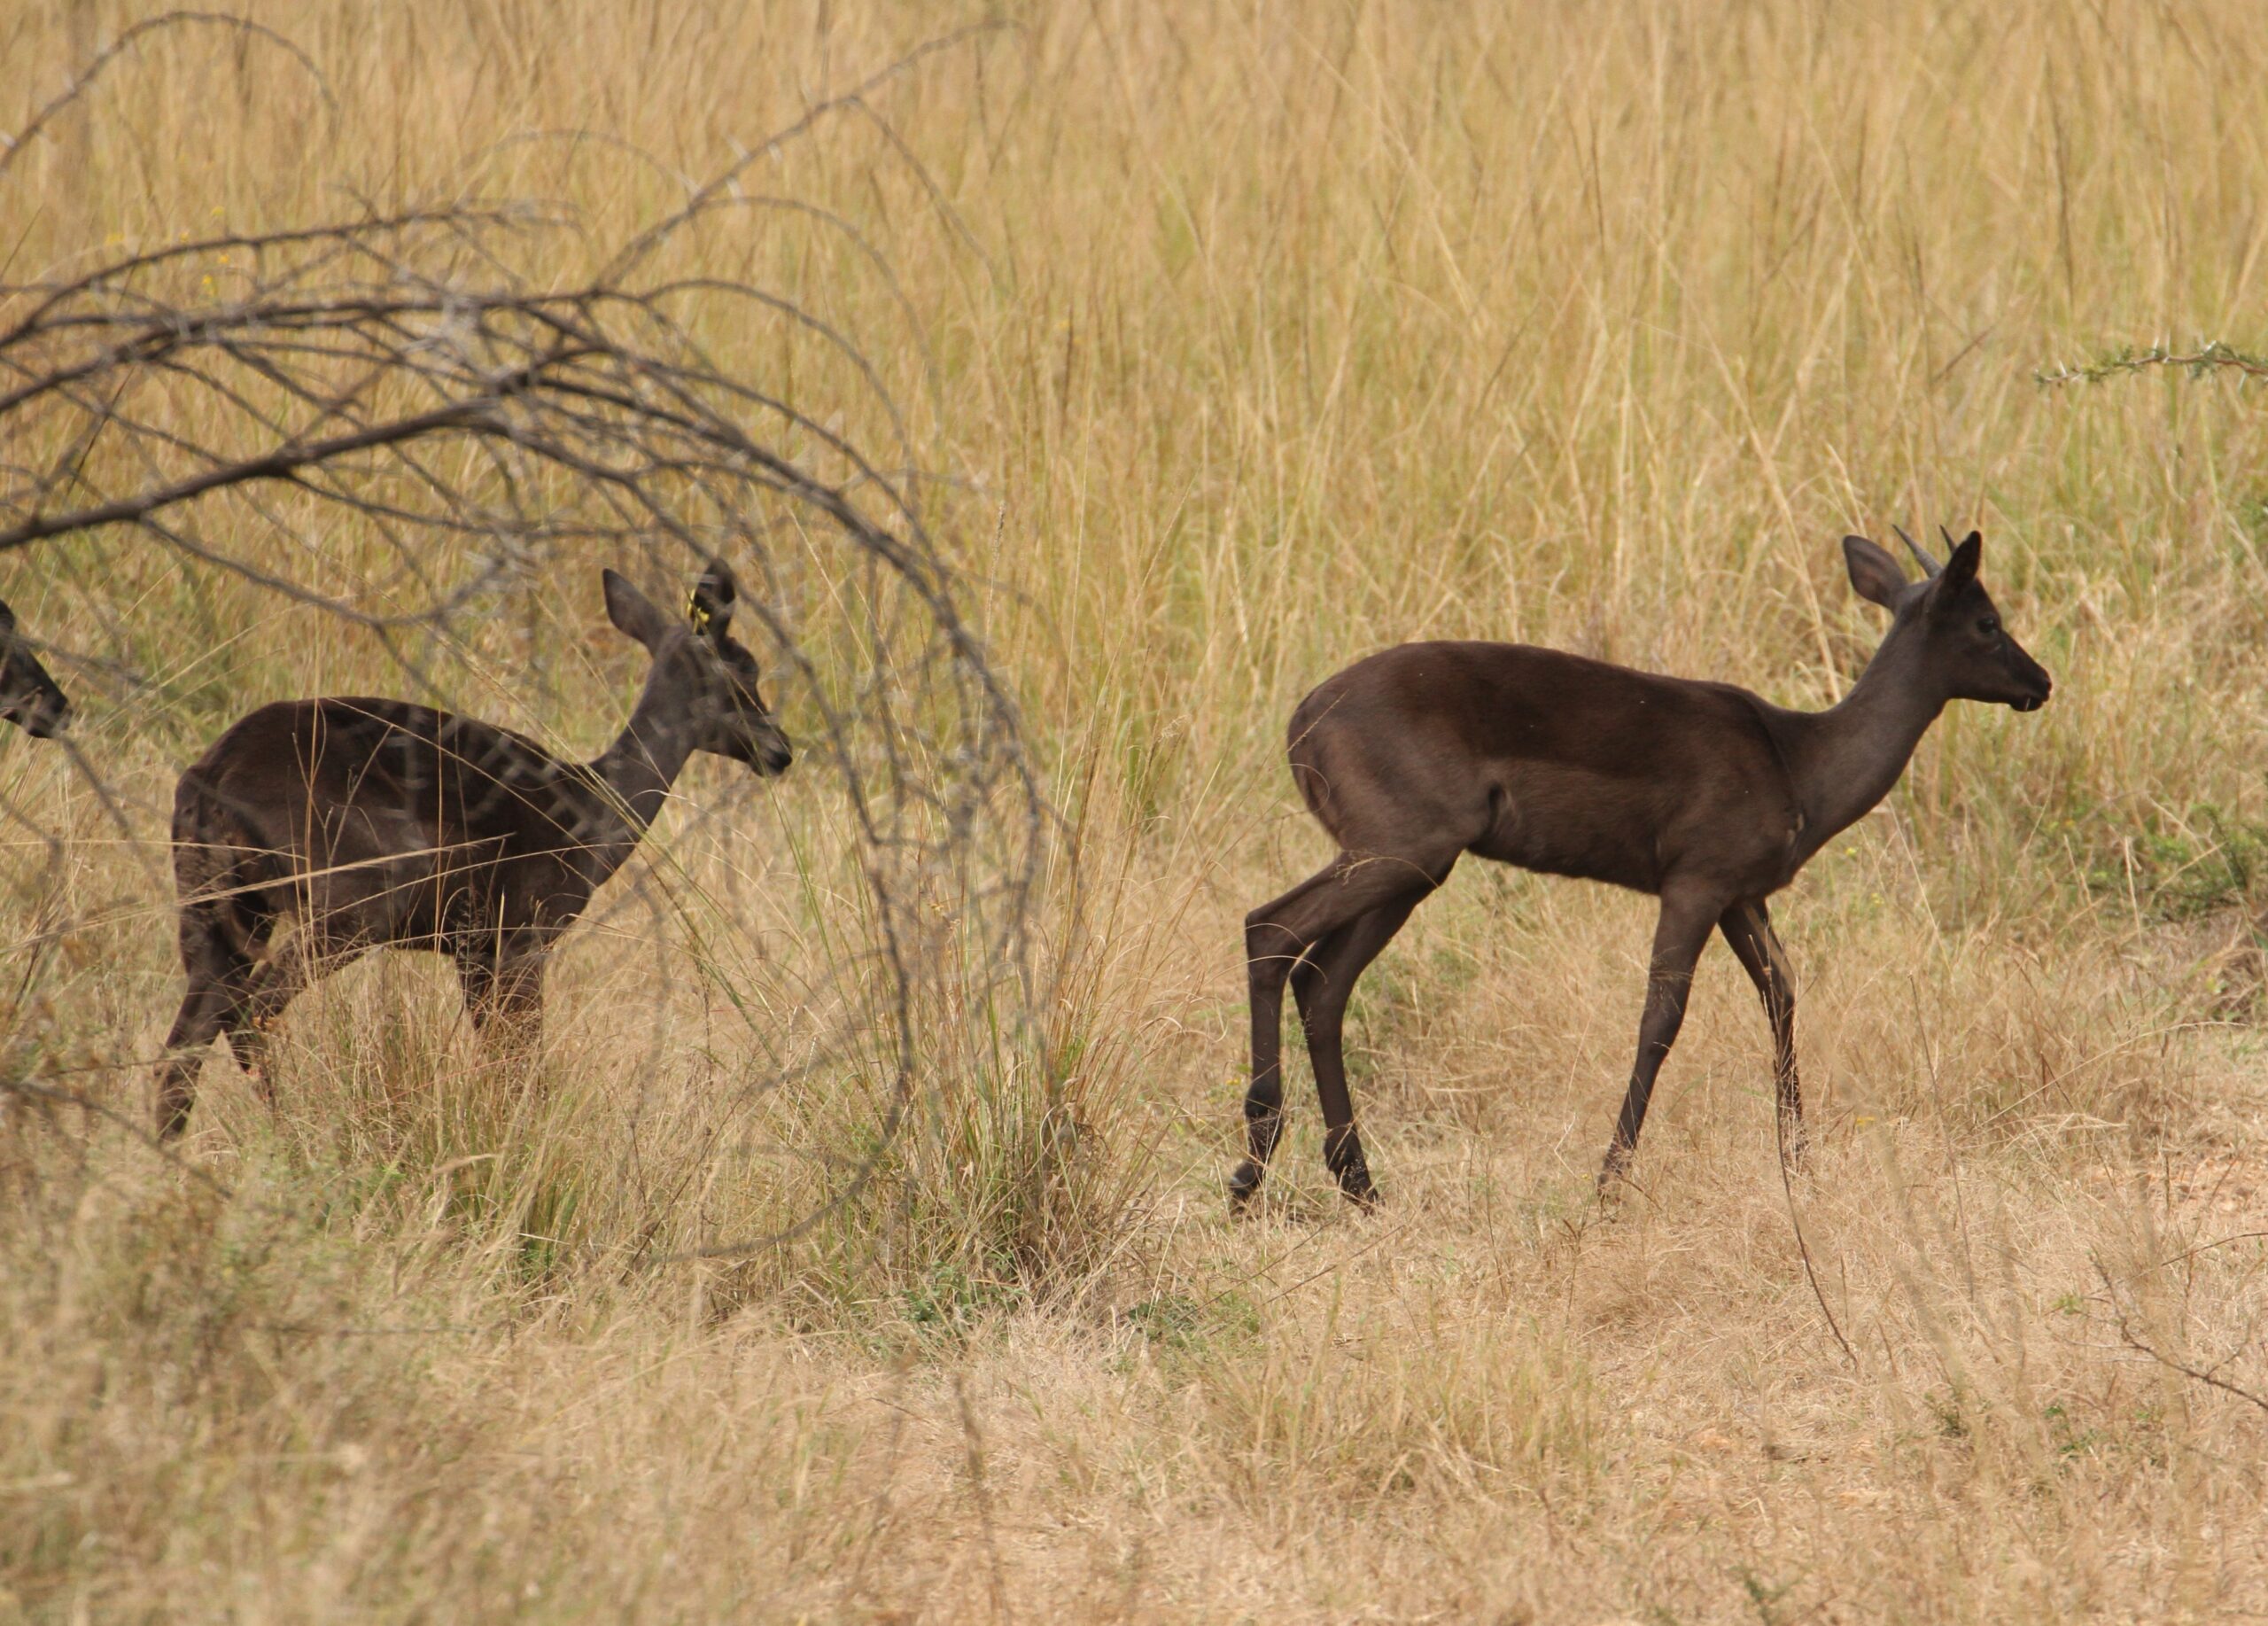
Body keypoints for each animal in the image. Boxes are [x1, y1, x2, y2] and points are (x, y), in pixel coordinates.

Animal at [154, 560, 791, 1139]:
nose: (780, 749)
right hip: (352, 901)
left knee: (185, 1042)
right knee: (252, 1010)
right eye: (744, 673)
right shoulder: (522, 936)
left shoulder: (473, 949)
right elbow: (522, 1064)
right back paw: (293, 1134)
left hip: (222, 908)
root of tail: (208, 778)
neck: (591, 813)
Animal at [1232, 528, 2052, 1209]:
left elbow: (1782, 996)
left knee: (1324, 981)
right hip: (1402, 850)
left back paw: (1360, 1186)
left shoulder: (1743, 897)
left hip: (1408, 872)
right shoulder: (1695, 884)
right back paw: (1250, 1170)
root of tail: (1302, 720)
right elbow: (1661, 1019)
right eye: (1987, 620)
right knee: (1270, 927)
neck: (1798, 759)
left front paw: (1802, 1169)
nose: (2040, 682)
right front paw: (1607, 1184)